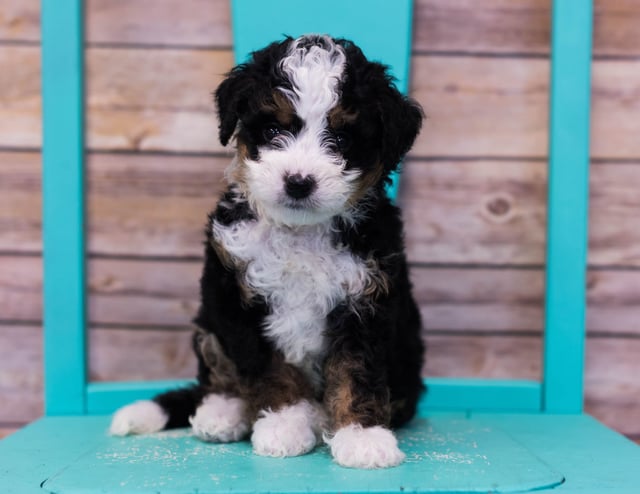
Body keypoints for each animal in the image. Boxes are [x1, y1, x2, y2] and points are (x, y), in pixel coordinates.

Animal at [111, 35, 424, 470]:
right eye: (274, 128)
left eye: (342, 140)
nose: (298, 182)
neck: (300, 231)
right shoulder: (236, 293)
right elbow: (266, 368)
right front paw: (285, 424)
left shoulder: (367, 297)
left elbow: (357, 368)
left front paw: (362, 437)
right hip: (210, 319)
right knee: (218, 373)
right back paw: (223, 413)